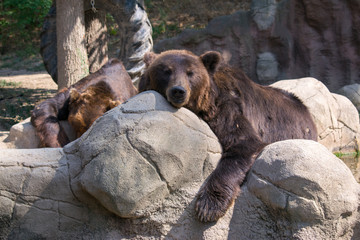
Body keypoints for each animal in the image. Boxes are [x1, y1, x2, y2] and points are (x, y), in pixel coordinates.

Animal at [139, 49, 316, 223]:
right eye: (166, 70)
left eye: (190, 73)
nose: (178, 91)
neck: (207, 103)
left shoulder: (227, 107)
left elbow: (242, 144)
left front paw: (209, 206)